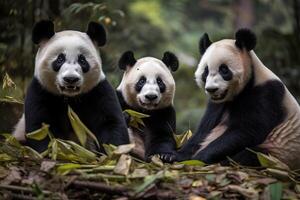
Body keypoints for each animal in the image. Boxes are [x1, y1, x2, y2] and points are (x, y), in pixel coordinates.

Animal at [13, 20, 129, 152]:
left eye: (82, 60)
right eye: (60, 59)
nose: (71, 79)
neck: (70, 97)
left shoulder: (98, 90)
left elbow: (110, 123)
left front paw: (113, 152)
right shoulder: (41, 90)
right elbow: (41, 128)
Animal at [176, 28, 300, 169]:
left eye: (224, 70)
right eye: (205, 71)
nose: (212, 89)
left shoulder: (267, 93)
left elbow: (247, 131)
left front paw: (199, 158)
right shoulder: (216, 104)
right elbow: (204, 130)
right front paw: (175, 155)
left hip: (278, 152)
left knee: (254, 154)